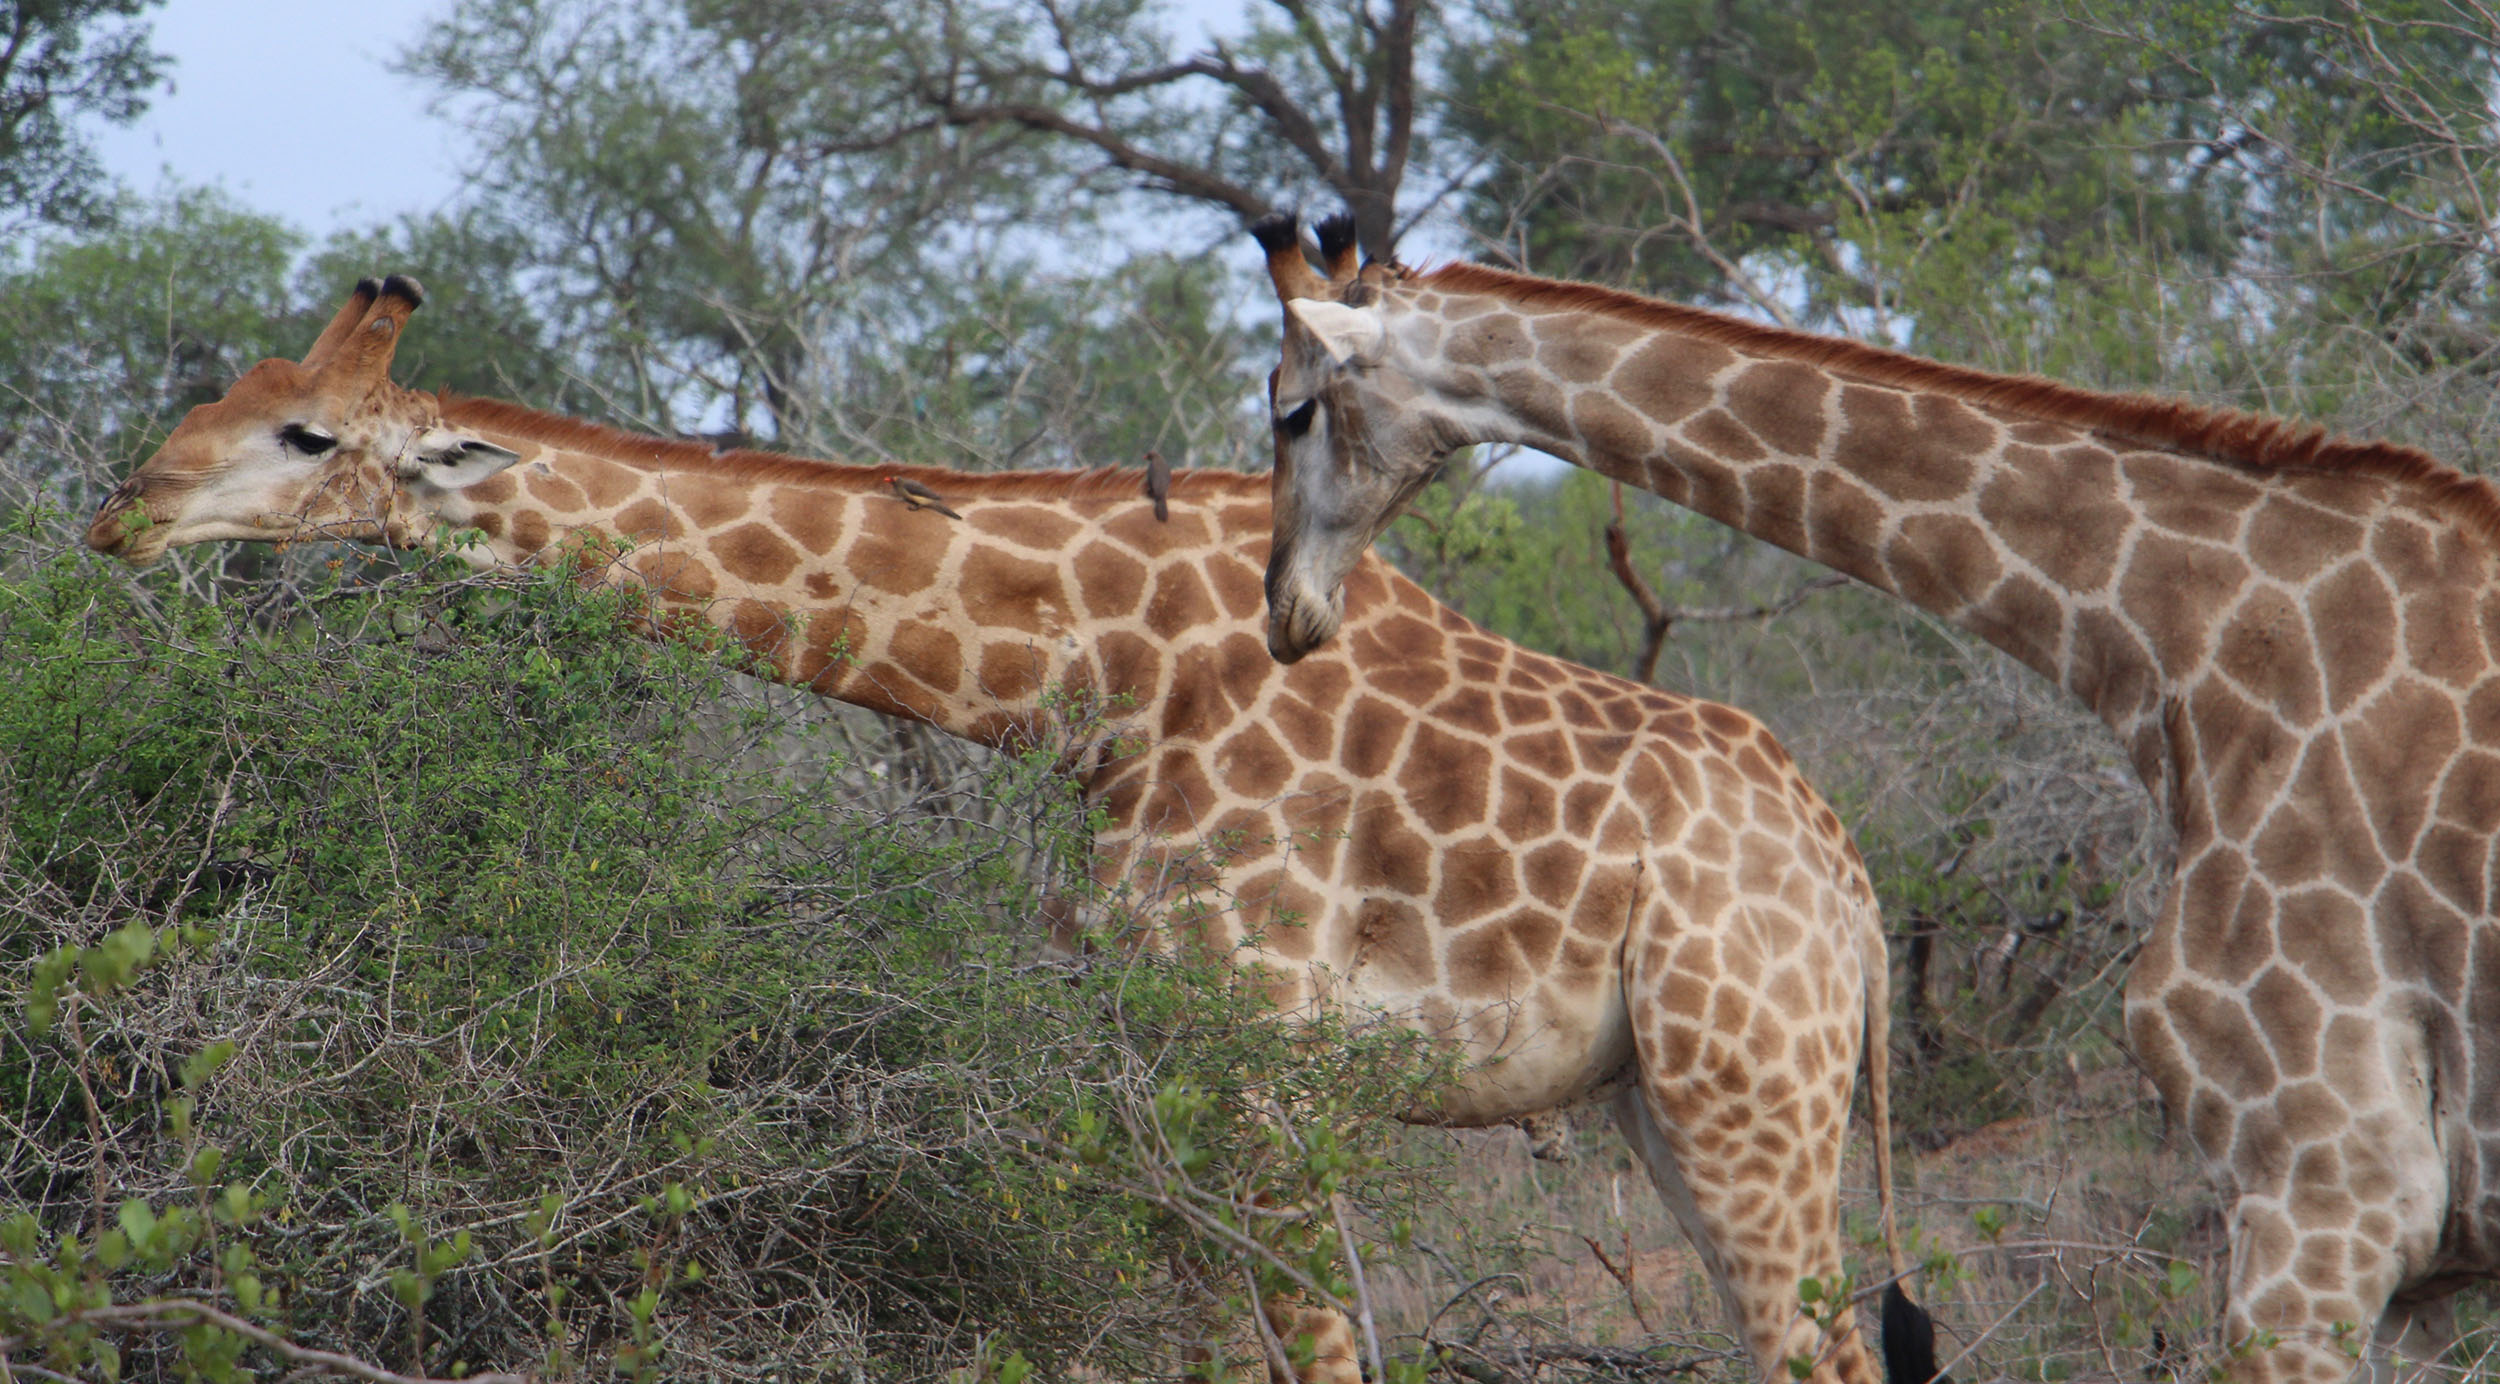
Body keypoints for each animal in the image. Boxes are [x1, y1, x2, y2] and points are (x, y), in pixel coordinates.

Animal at [88, 274, 1930, 1369]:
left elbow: (1319, 1340)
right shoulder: (1156, 1050)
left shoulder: (1260, 1053)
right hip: (1670, 1097)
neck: (1085, 674)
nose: (122, 514)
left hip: (1747, 1086)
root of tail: (1854, 896)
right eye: (224, 391)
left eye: (305, 431)